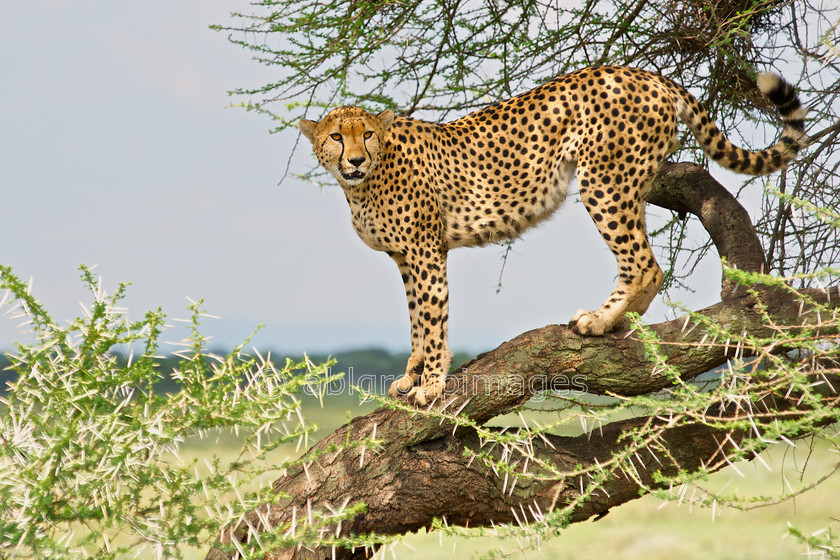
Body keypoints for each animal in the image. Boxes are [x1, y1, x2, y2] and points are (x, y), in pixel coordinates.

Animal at [298, 66, 804, 406]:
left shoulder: (425, 251)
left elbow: (433, 318)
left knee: (643, 262)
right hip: (631, 183)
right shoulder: (405, 257)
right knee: (648, 263)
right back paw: (618, 322)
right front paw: (412, 375)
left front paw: (433, 384)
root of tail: (643, 73)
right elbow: (416, 321)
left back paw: (599, 320)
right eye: (337, 137)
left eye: (365, 134)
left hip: (604, 181)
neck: (361, 183)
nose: (355, 159)